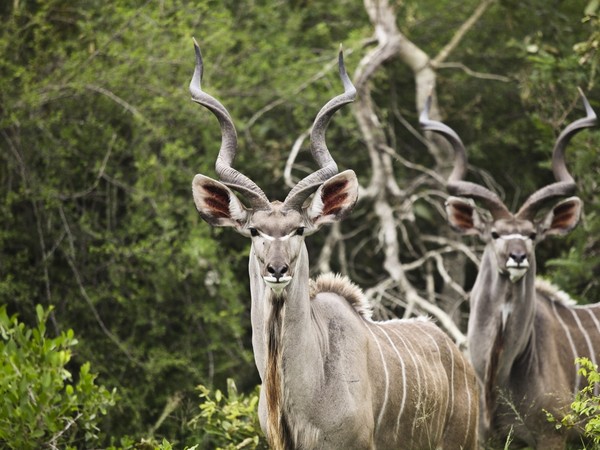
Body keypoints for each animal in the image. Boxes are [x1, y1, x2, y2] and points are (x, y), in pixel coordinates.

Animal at [422, 93, 600, 448]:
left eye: (532, 235)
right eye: (494, 234)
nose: (518, 257)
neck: (499, 372)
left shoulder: (553, 435)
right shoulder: (487, 437)